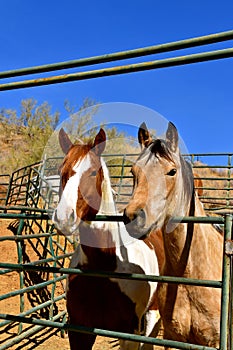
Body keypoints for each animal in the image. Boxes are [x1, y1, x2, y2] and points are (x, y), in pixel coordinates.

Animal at [53, 129, 161, 350]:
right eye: (62, 171)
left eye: (93, 172)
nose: (63, 218)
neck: (105, 264)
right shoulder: (79, 331)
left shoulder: (129, 334)